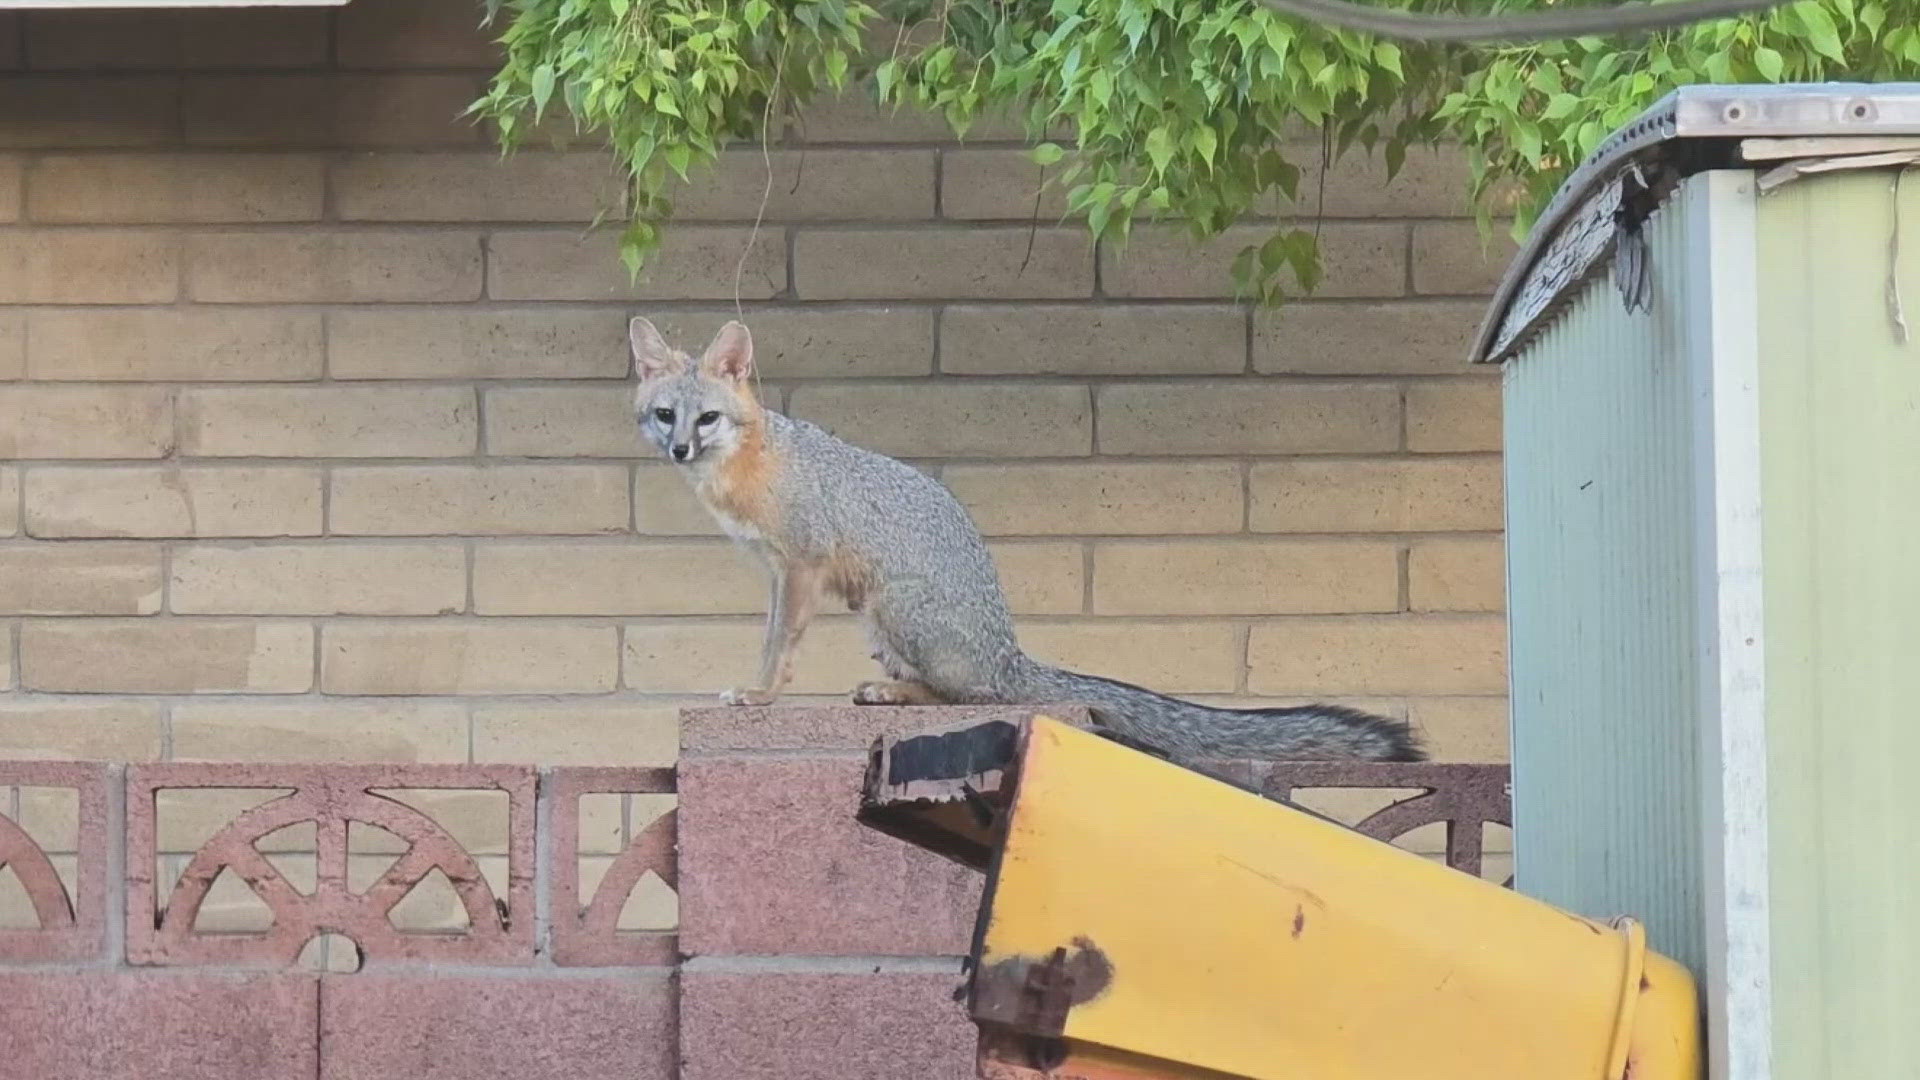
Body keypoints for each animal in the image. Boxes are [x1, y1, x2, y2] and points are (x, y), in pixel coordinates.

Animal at [629, 315, 1428, 760]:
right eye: (666, 415)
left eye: (707, 418)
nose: (679, 450)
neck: (750, 465)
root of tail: (1010, 649)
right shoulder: (774, 572)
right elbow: (771, 636)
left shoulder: (802, 565)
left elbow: (778, 648)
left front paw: (760, 696)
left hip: (890, 608)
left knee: (971, 696)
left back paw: (901, 694)